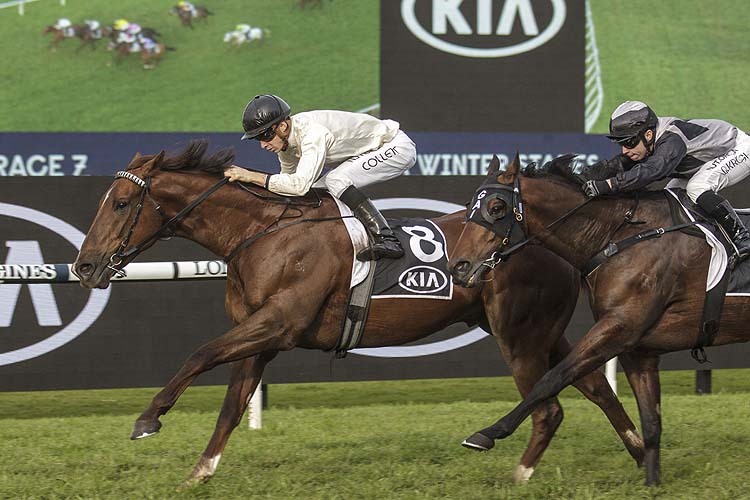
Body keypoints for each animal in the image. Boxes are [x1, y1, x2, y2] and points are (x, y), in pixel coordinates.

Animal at [73, 141, 644, 488]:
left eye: (120, 203)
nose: (84, 266)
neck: (263, 233)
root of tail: (550, 238)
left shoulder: (278, 323)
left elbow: (199, 353)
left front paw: (148, 419)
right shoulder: (261, 335)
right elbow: (232, 406)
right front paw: (201, 472)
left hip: (518, 334)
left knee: (550, 407)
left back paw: (521, 474)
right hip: (543, 332)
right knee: (593, 386)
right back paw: (641, 453)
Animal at [450, 153, 750, 484]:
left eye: (496, 208)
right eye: (469, 206)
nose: (458, 267)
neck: (617, 236)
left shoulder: (619, 327)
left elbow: (552, 378)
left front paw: (487, 433)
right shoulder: (638, 350)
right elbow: (651, 423)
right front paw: (652, 482)